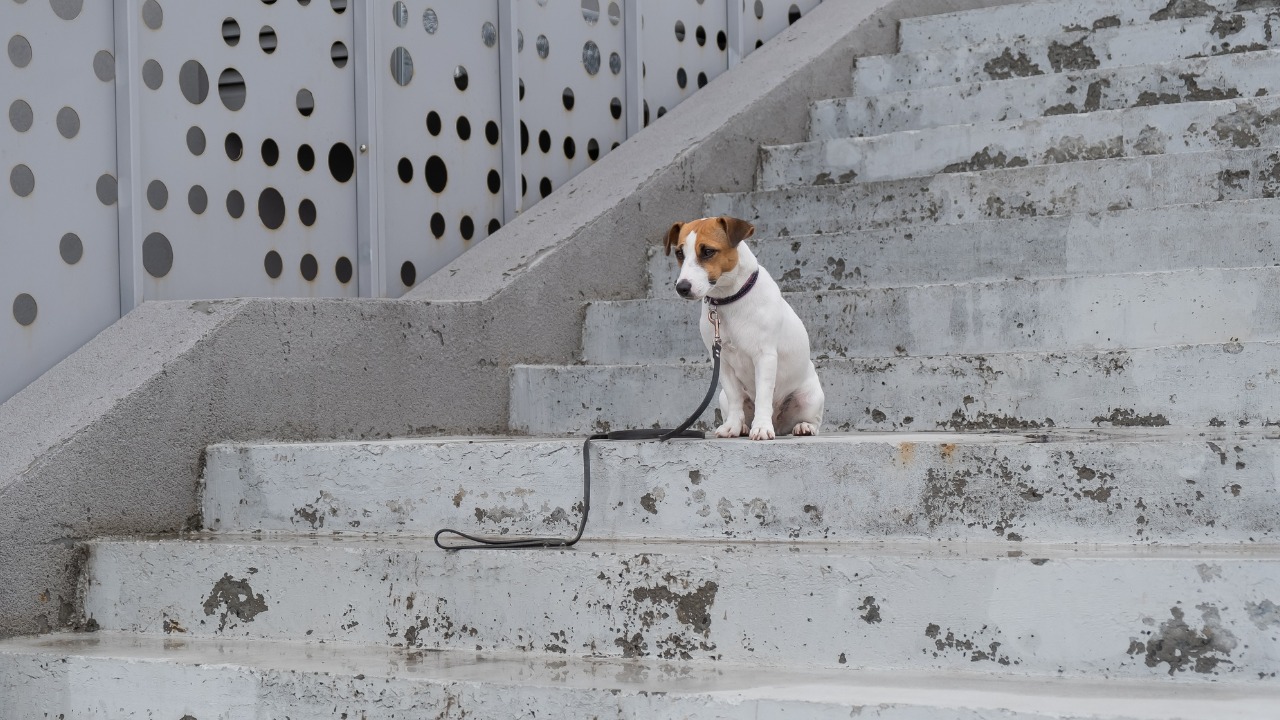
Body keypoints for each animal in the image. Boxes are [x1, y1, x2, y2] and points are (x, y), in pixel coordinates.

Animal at [665, 213, 824, 438]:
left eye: (708, 251)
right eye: (679, 253)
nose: (682, 287)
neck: (728, 300)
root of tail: (779, 424)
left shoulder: (765, 356)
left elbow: (764, 395)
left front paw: (762, 427)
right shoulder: (721, 361)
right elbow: (735, 398)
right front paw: (733, 426)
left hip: (810, 397)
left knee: (813, 420)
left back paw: (803, 427)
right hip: (722, 396)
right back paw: (743, 427)